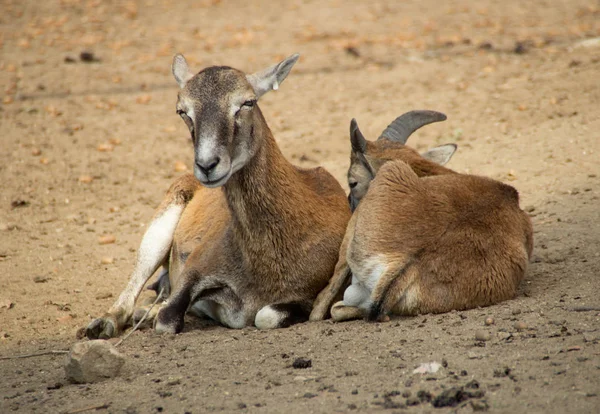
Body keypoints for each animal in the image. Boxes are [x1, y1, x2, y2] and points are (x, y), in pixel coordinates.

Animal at [88, 54, 352, 340]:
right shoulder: (195, 268)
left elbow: (266, 316)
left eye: (247, 102)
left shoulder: (309, 297)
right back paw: (103, 325)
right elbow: (168, 318)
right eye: (182, 110)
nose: (207, 165)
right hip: (159, 231)